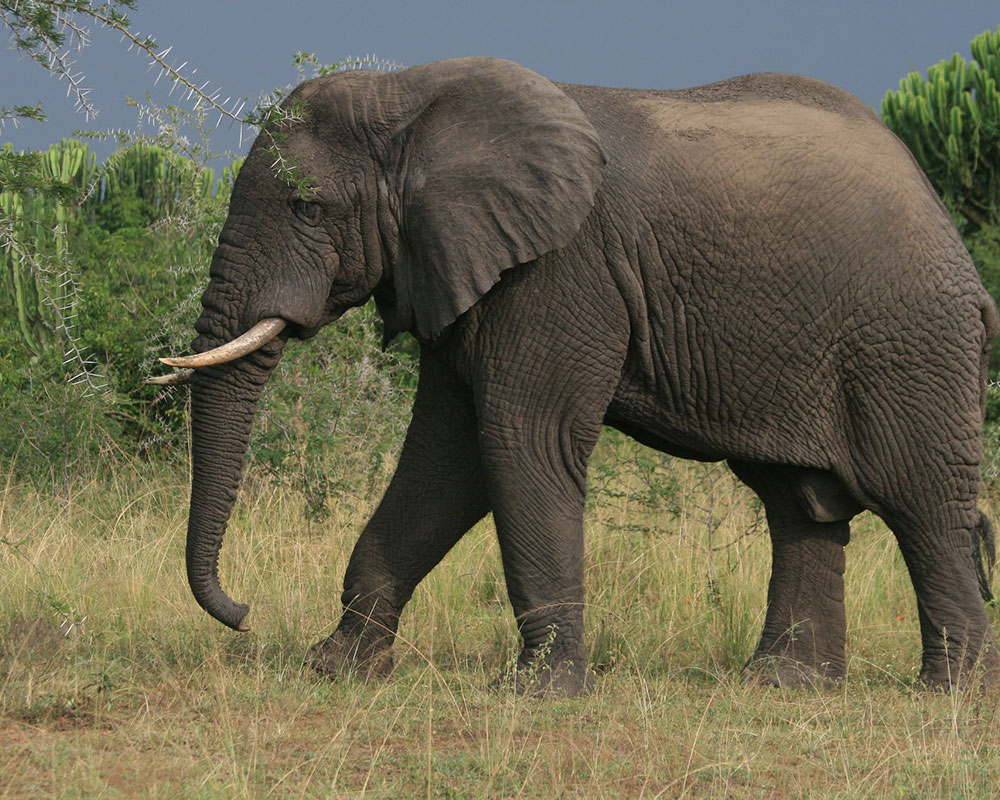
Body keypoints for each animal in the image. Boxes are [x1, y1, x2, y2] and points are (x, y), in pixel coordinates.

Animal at [156, 54, 1000, 692]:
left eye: (308, 207)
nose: (245, 613)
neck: (411, 96)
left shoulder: (561, 270)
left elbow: (522, 439)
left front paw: (538, 693)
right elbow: (445, 461)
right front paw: (337, 670)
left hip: (908, 344)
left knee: (922, 502)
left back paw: (948, 691)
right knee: (801, 505)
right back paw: (783, 685)